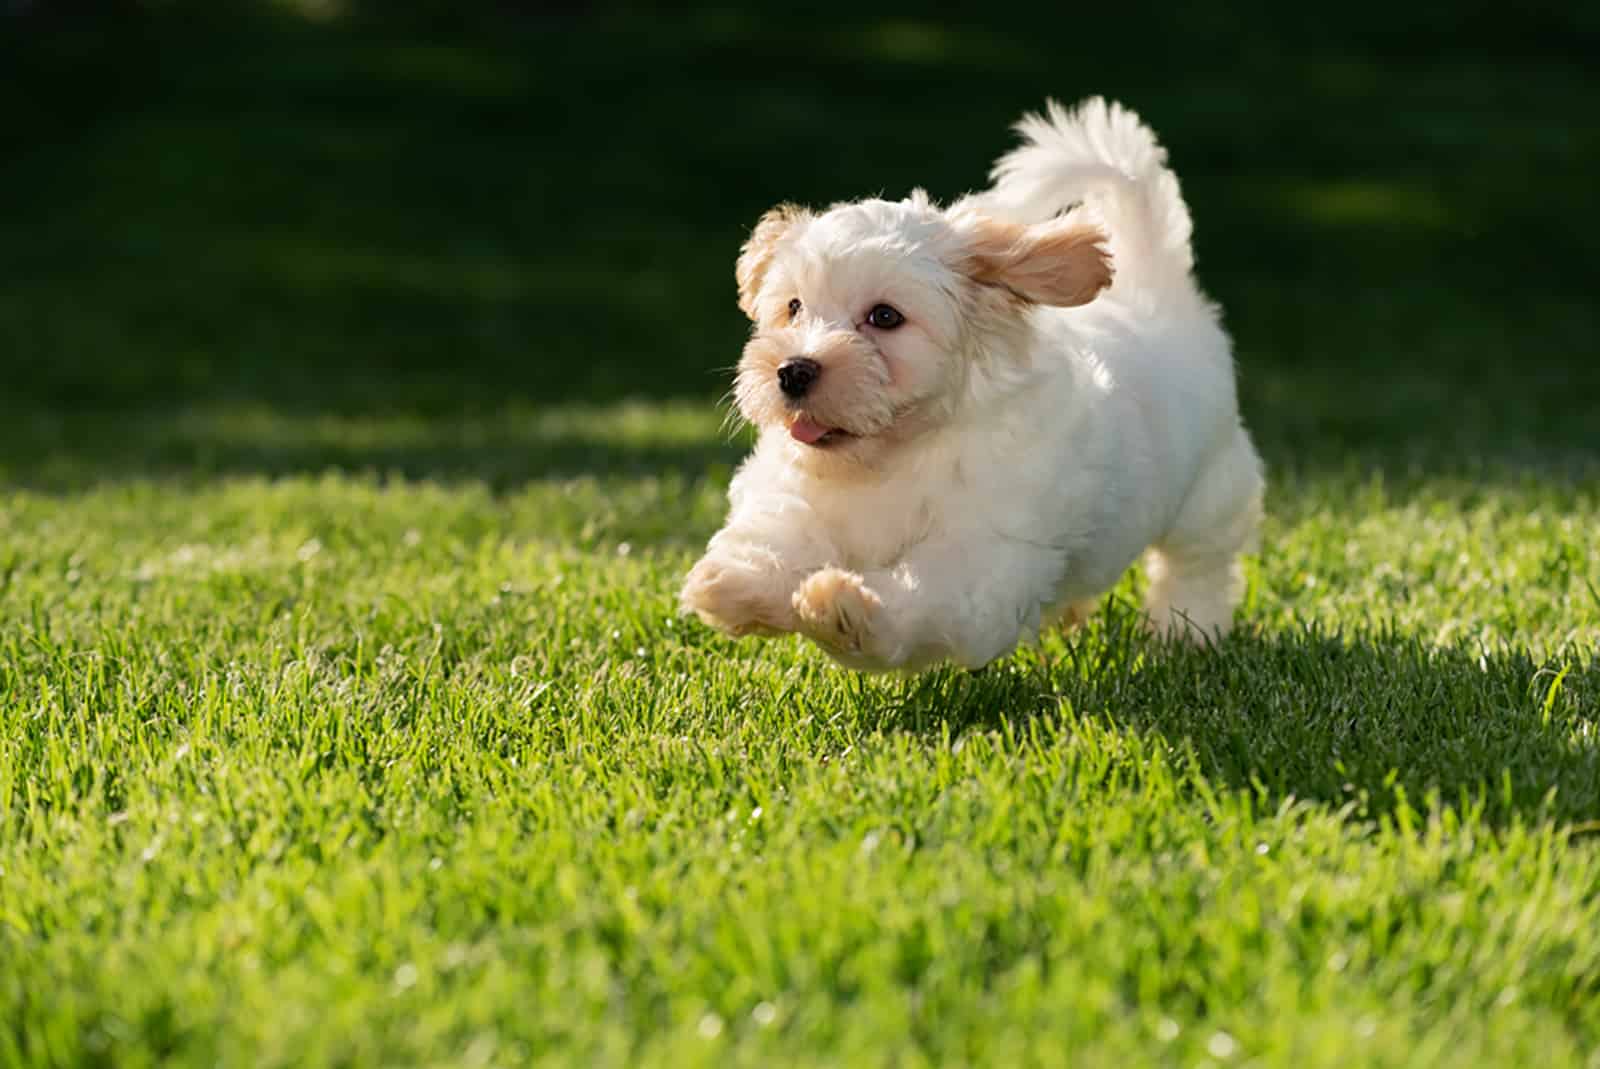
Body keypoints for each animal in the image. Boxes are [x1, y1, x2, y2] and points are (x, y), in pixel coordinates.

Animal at [681, 98, 1267, 668]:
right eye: (794, 308)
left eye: (885, 317)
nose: (793, 370)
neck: (893, 459)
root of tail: (1157, 289)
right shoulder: (795, 486)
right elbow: (780, 527)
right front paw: (738, 585)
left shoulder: (980, 556)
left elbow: (922, 594)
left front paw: (847, 610)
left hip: (1211, 490)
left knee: (1200, 564)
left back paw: (1184, 631)